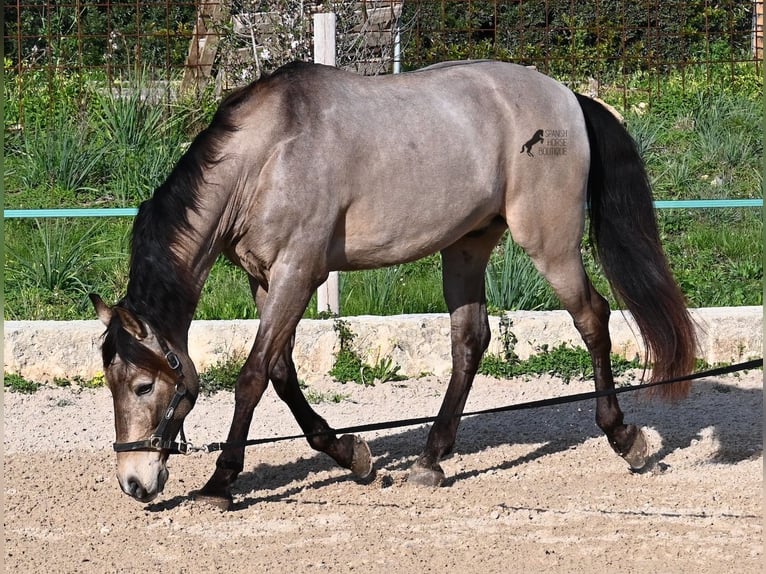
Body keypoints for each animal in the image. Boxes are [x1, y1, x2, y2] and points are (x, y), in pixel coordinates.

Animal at [91, 60, 696, 510]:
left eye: (142, 386)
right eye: (111, 384)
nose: (134, 483)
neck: (267, 156)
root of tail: (569, 96)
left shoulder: (297, 274)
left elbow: (253, 377)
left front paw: (221, 482)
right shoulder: (265, 280)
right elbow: (282, 374)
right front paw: (351, 455)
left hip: (548, 242)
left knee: (592, 317)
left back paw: (625, 439)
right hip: (467, 245)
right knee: (470, 340)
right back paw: (430, 460)